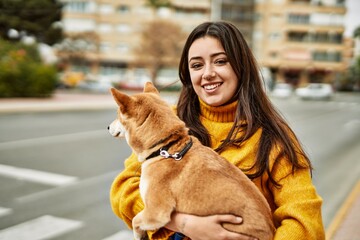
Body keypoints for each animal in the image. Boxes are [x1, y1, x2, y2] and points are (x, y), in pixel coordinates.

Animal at [108, 81, 274, 239]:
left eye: (117, 114)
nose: (108, 127)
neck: (167, 148)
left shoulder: (157, 212)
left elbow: (136, 219)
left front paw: (139, 234)